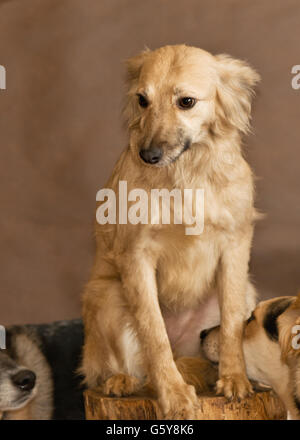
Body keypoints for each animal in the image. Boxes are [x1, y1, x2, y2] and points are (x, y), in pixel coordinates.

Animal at [81, 45, 260, 420]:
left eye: (186, 102)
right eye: (142, 100)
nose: (147, 155)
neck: (186, 173)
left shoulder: (235, 246)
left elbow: (233, 323)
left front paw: (235, 379)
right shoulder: (136, 257)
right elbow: (154, 335)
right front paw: (174, 395)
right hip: (107, 295)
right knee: (129, 366)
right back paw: (122, 380)